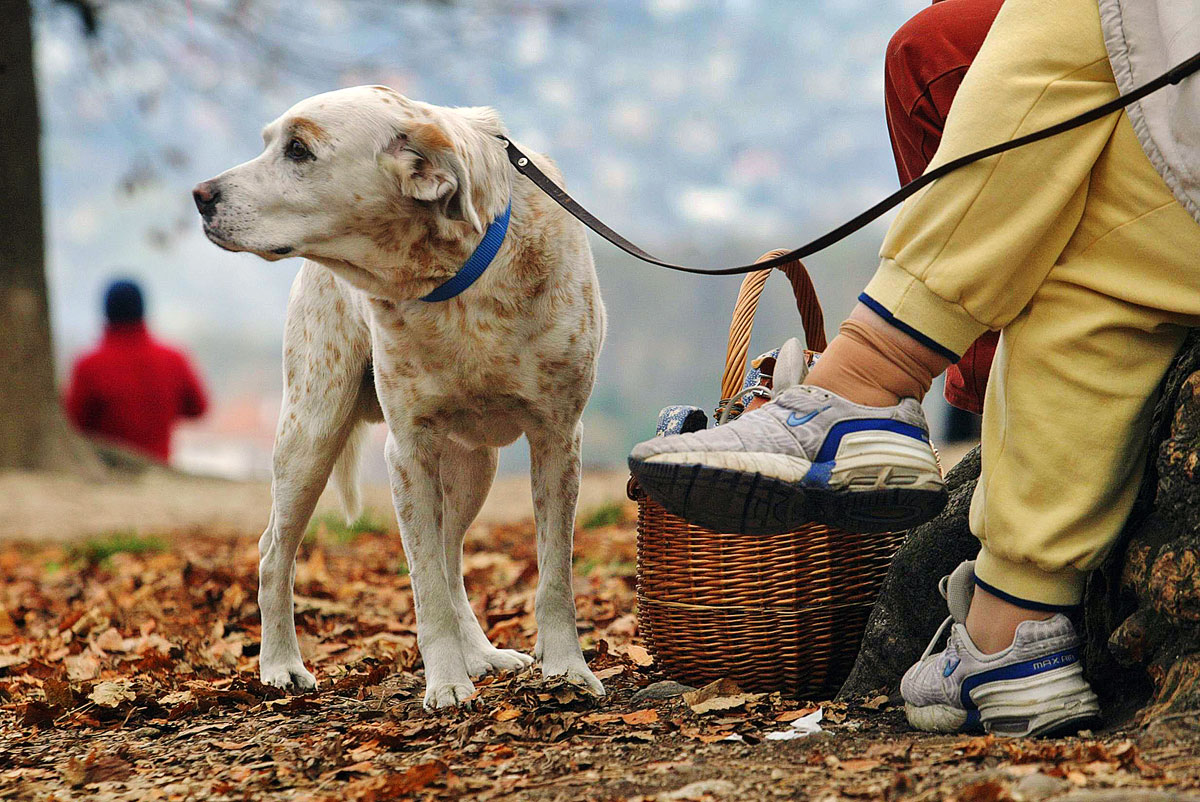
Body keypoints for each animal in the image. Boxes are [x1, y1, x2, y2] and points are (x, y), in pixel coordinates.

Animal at [196, 86, 609, 705]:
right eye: (269, 142)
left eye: (298, 149)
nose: (200, 196)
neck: (457, 281)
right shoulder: (408, 449)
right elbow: (426, 588)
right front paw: (447, 684)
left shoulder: (558, 438)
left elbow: (554, 575)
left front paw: (566, 669)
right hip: (310, 431)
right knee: (274, 553)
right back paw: (280, 665)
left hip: (472, 463)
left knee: (451, 555)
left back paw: (483, 656)